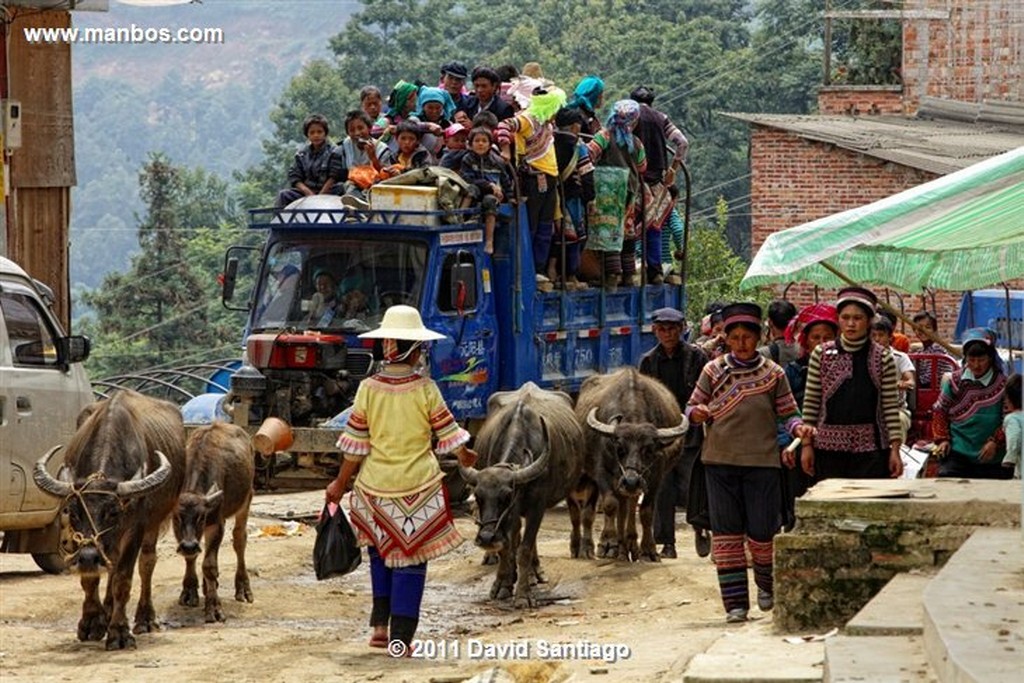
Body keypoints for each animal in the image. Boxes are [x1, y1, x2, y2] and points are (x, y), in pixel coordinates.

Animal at [33, 393, 186, 651]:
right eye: (72, 512)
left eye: (114, 512)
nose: (88, 556)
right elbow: (91, 578)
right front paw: (92, 623)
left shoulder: (135, 528)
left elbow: (123, 578)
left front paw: (119, 632)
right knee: (111, 564)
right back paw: (106, 612)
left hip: (153, 523)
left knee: (146, 563)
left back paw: (145, 619)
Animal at [176, 419, 256, 622]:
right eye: (177, 517)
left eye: (201, 517)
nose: (189, 545)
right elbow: (192, 557)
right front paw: (190, 590)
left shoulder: (215, 524)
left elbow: (209, 565)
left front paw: (213, 607)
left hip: (247, 498)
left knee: (239, 539)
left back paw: (243, 587)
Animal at [462, 385, 585, 610]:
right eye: (479, 497)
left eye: (506, 496)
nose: (486, 537)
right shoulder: (509, 516)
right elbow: (507, 547)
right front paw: (502, 585)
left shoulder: (536, 507)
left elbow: (525, 548)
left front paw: (523, 594)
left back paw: (534, 574)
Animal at [577, 370, 688, 565]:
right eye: (620, 448)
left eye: (649, 450)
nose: (631, 481)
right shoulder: (602, 472)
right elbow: (610, 504)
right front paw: (608, 544)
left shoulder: (655, 477)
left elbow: (646, 511)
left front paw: (648, 550)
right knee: (596, 511)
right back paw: (598, 549)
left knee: (629, 506)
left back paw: (629, 546)